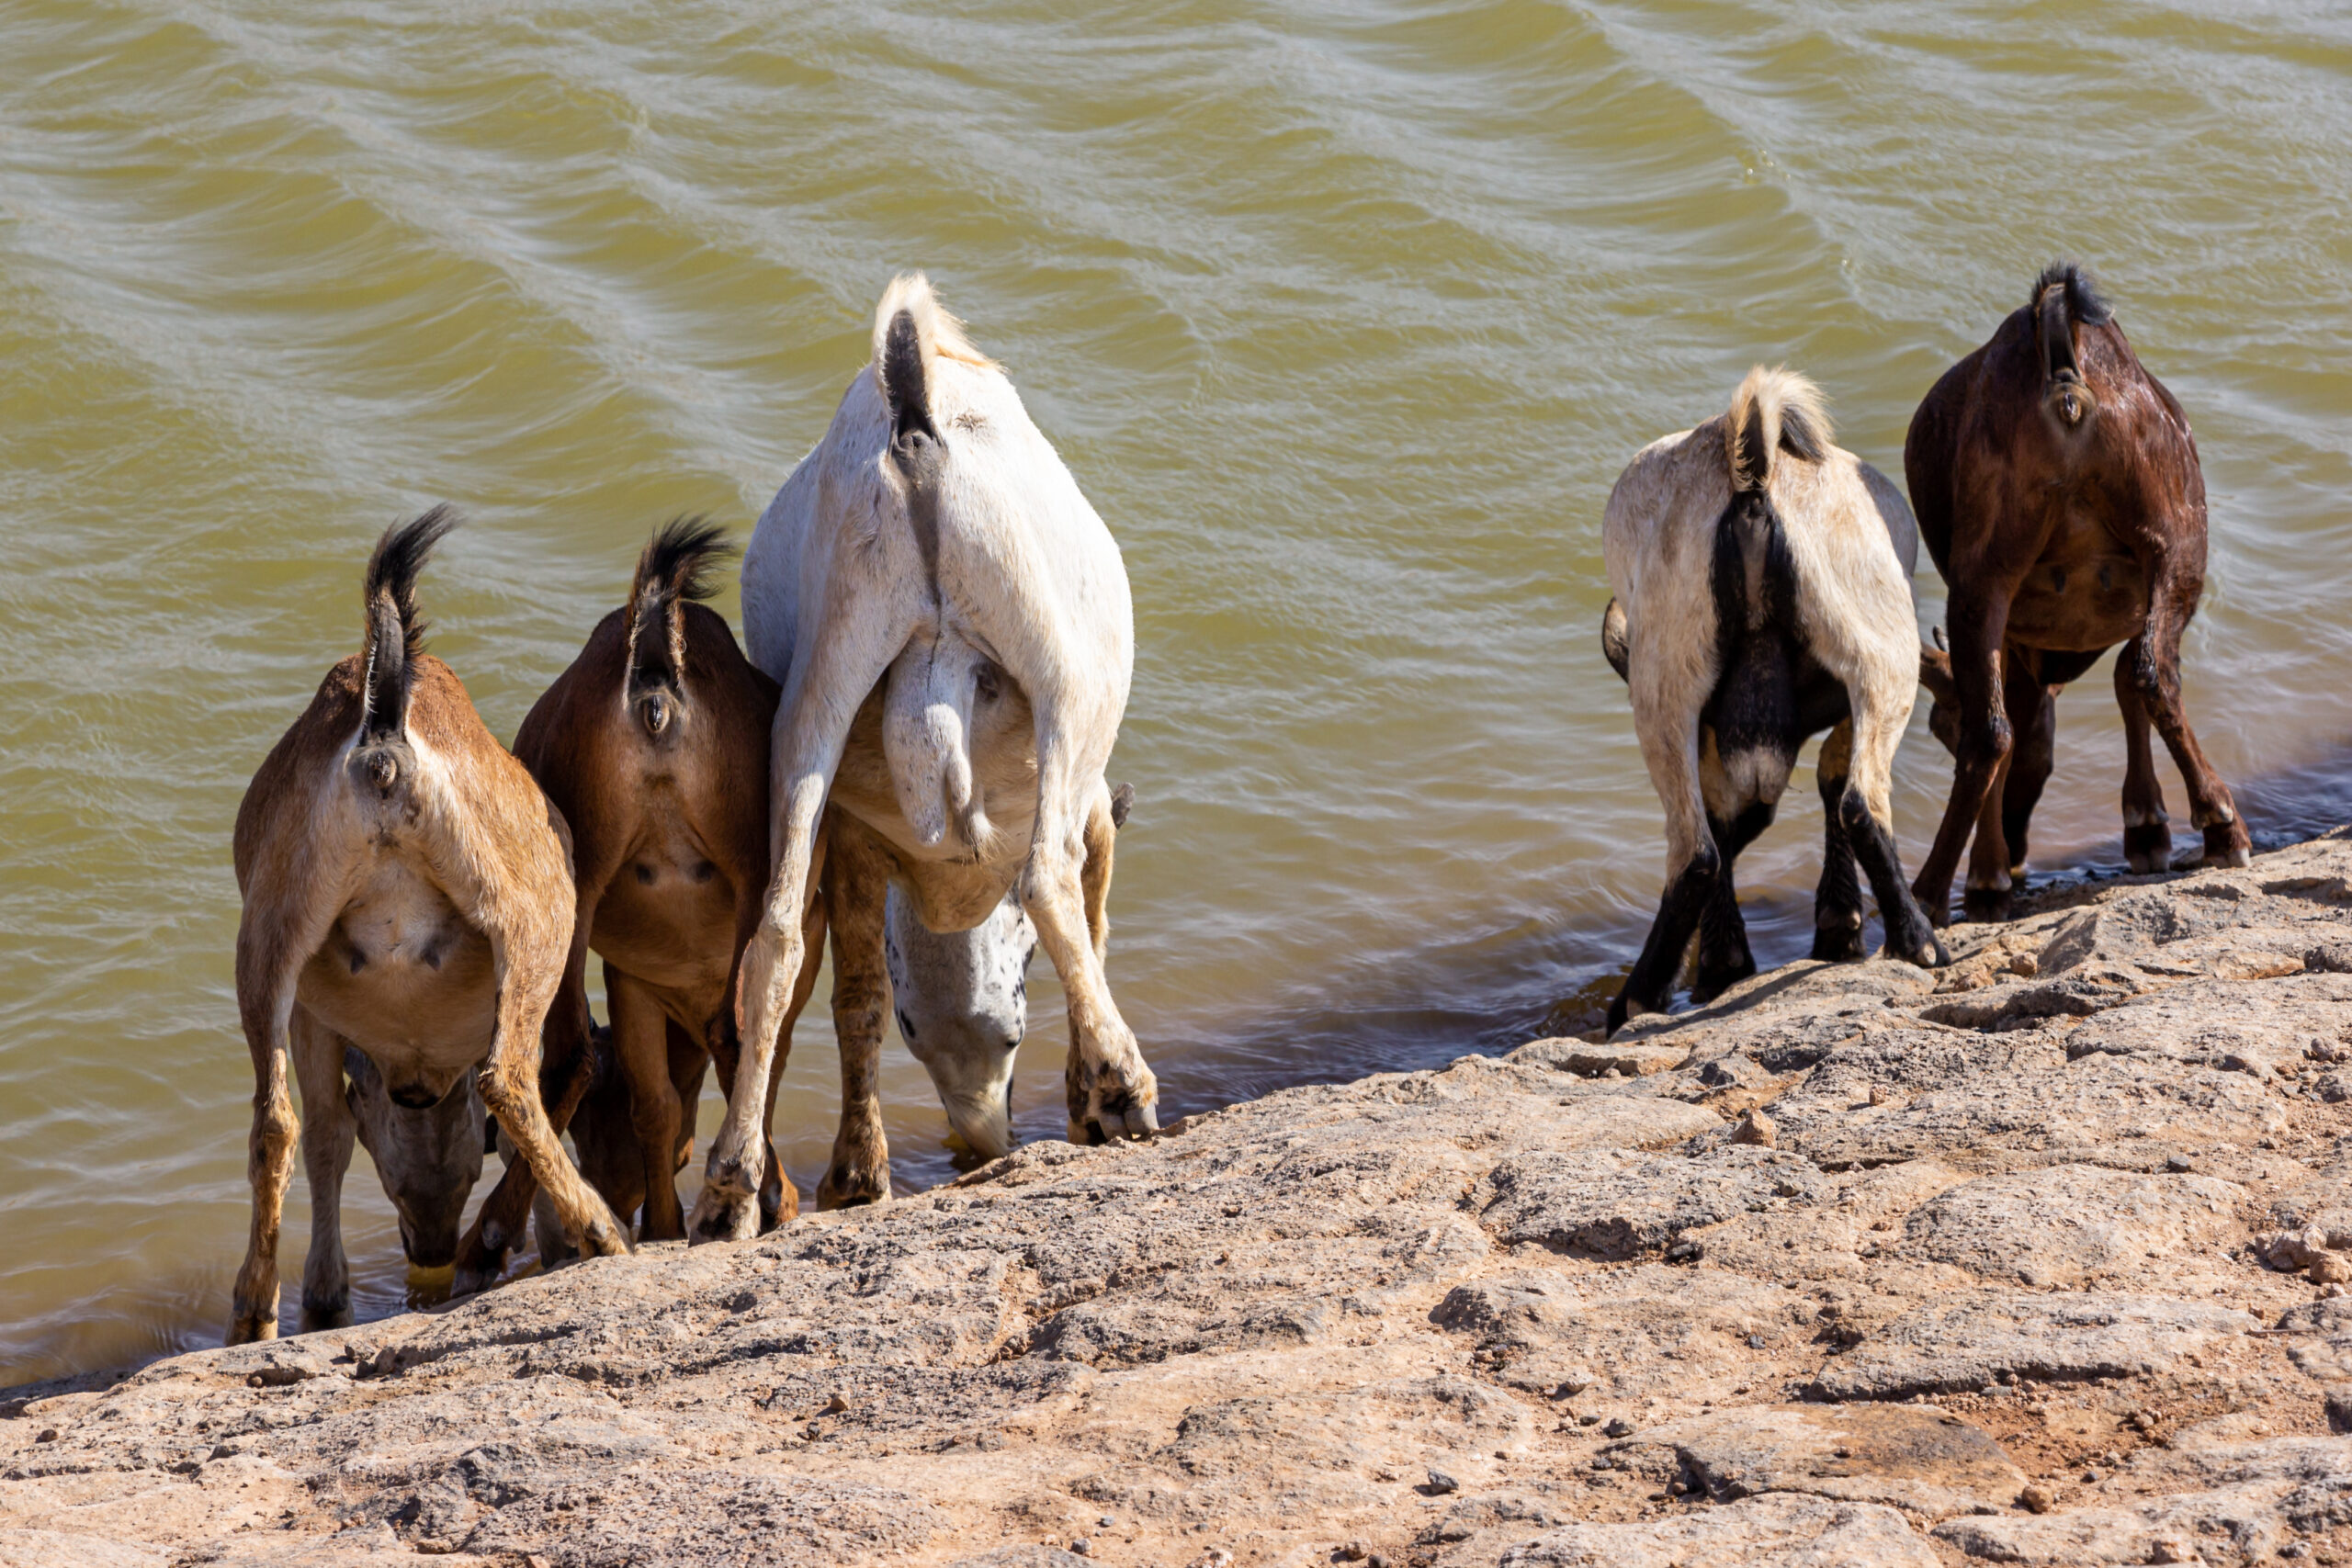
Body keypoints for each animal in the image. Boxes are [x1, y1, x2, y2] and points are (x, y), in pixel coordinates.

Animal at [227, 510, 625, 1344]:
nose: (430, 1247)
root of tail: (383, 745)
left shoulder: (312, 1008)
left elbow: (325, 1131)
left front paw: (322, 1295)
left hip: (272, 938)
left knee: (273, 1121)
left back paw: (254, 1307)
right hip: (535, 923)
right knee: (514, 1078)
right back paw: (600, 1228)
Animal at [700, 276, 1161, 1241]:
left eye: (1001, 1037)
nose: (983, 1138)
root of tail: (914, 424)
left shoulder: (853, 838)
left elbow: (858, 995)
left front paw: (855, 1170)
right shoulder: (1096, 805)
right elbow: (1093, 918)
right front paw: (1087, 1094)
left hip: (821, 683)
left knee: (774, 939)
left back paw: (729, 1187)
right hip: (1053, 658)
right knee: (1050, 878)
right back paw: (1123, 1087)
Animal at [1599, 368, 1947, 1043]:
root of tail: (1753, 477)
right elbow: (1830, 775)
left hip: (1667, 678)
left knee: (1701, 848)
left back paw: (1642, 993)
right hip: (1880, 653)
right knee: (1855, 800)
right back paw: (1917, 939)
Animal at [1900, 255, 2248, 921]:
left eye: (1937, 726)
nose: (2016, 846)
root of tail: (2065, 383)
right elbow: (2126, 678)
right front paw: (2148, 825)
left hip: (1991, 564)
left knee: (1999, 727)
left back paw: (1930, 894)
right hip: (2171, 536)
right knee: (2148, 675)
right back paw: (2221, 822)